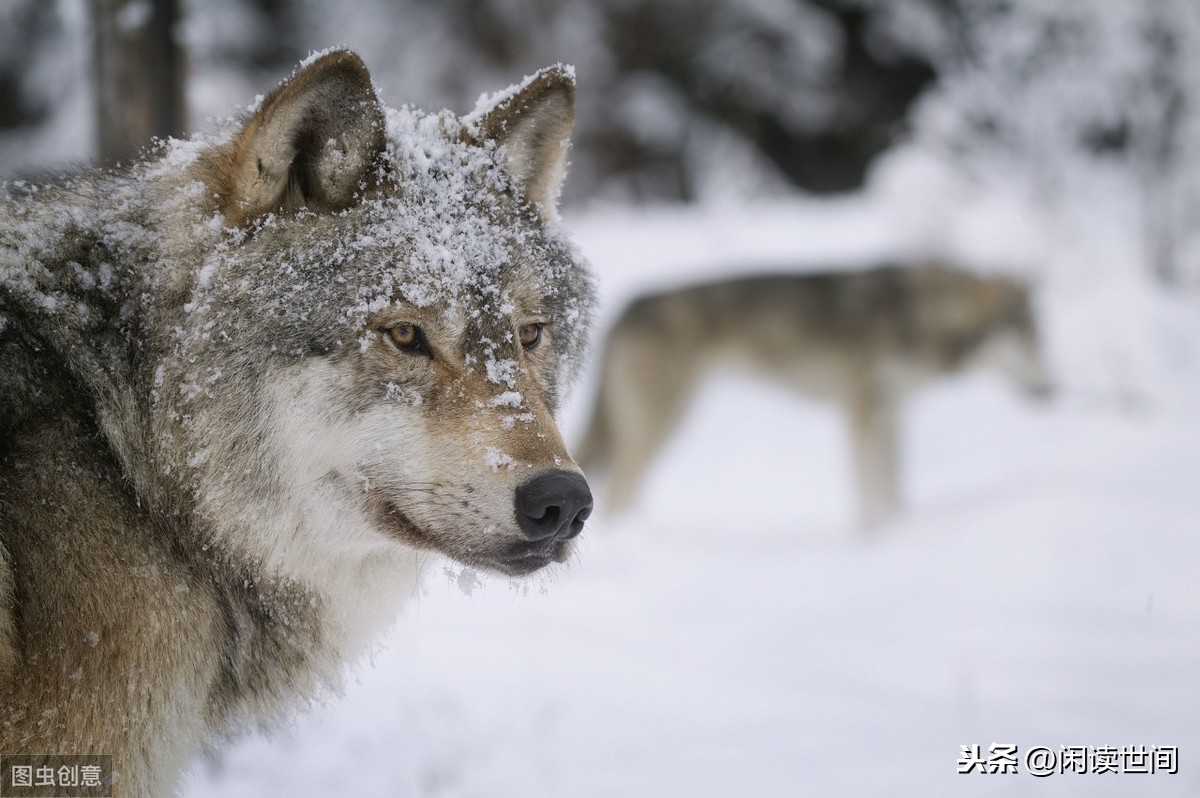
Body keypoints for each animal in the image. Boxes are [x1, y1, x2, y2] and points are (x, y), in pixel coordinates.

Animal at [576, 262, 1046, 528]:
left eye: (1039, 339)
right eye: (1023, 340)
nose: (1052, 389)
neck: (918, 314)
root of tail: (629, 307)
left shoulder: (891, 413)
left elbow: (893, 488)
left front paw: (899, 529)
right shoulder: (862, 411)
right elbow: (868, 489)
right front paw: (871, 538)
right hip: (662, 424)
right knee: (618, 493)